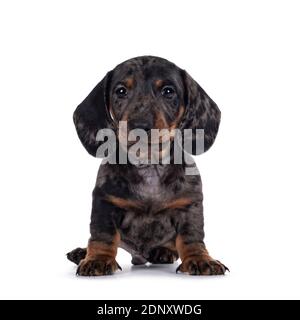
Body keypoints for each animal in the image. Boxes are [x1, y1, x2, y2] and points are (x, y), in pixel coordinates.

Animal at [67, 55, 227, 276]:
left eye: (168, 91)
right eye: (121, 91)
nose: (140, 126)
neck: (149, 164)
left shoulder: (189, 205)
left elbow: (191, 237)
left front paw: (200, 259)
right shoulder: (104, 202)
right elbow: (102, 236)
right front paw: (97, 259)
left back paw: (163, 251)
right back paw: (82, 253)